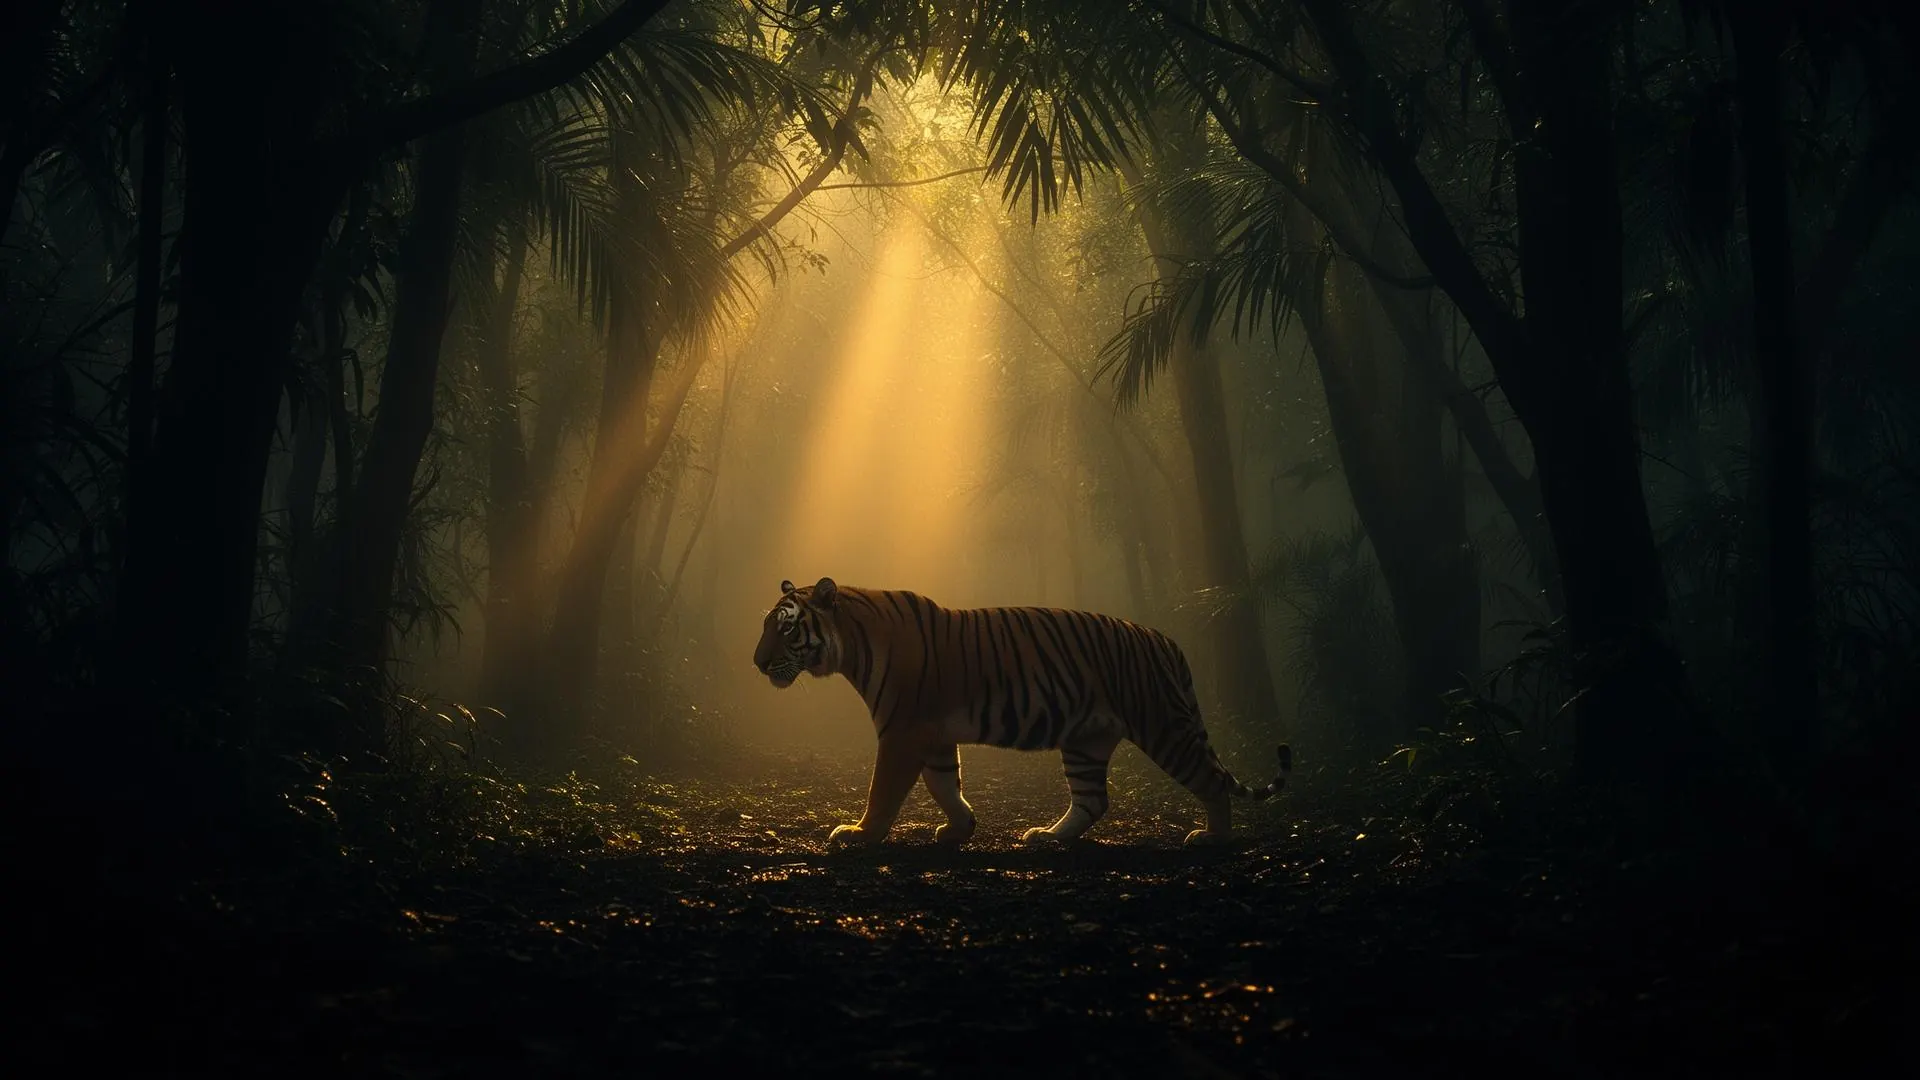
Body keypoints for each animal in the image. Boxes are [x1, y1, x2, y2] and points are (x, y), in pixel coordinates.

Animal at [752, 577, 1292, 850]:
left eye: (786, 628)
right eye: (766, 627)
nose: (756, 663)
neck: (852, 646)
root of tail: (1166, 640)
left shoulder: (903, 731)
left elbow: (883, 790)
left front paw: (860, 834)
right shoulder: (933, 734)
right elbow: (944, 783)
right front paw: (959, 828)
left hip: (1163, 727)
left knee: (1211, 781)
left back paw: (1212, 837)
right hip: (1086, 739)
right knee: (1093, 800)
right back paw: (1047, 836)